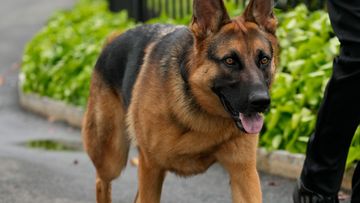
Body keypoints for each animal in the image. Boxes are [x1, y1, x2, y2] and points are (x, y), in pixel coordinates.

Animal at [83, 0, 278, 201]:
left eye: (264, 60)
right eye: (230, 60)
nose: (262, 102)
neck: (203, 114)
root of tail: (111, 41)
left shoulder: (243, 173)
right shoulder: (151, 168)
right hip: (112, 159)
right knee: (101, 182)